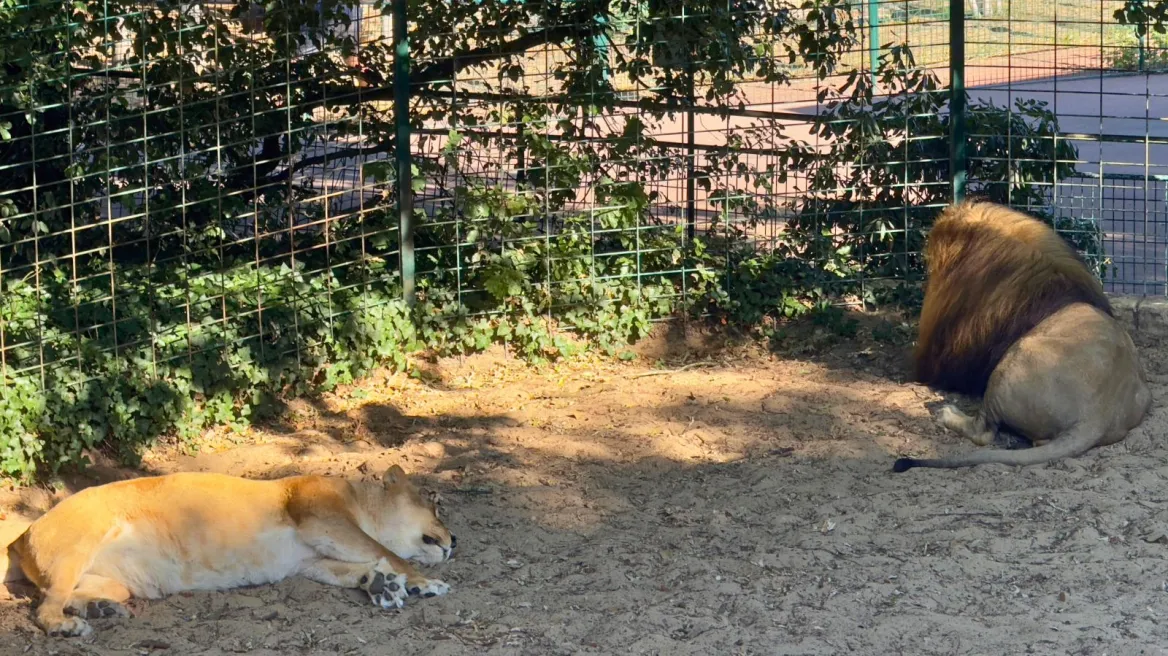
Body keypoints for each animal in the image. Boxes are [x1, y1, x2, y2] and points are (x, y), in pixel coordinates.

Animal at [4, 465, 456, 637]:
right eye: (436, 505)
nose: (455, 542)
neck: (361, 502)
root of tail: (22, 535)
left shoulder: (311, 560)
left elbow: (362, 566)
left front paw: (382, 585)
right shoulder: (320, 516)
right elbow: (389, 552)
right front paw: (425, 582)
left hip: (120, 583)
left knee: (69, 596)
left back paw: (100, 609)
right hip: (80, 544)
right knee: (43, 607)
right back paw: (67, 626)